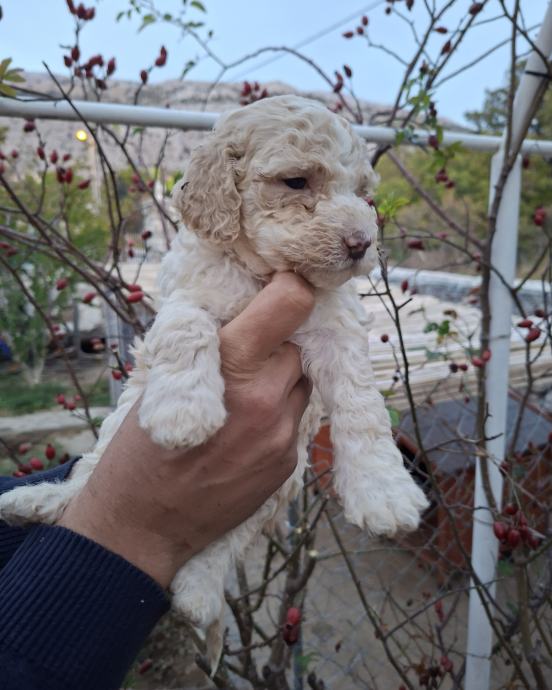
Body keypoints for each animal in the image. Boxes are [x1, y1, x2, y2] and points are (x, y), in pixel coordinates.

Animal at [0, 95, 428, 669]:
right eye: (296, 182)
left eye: (362, 192)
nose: (362, 244)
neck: (261, 277)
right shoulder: (182, 299)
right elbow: (189, 328)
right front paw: (184, 413)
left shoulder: (337, 330)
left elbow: (363, 409)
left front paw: (384, 491)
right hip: (121, 437)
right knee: (86, 476)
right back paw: (34, 503)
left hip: (275, 486)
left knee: (226, 540)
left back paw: (197, 592)